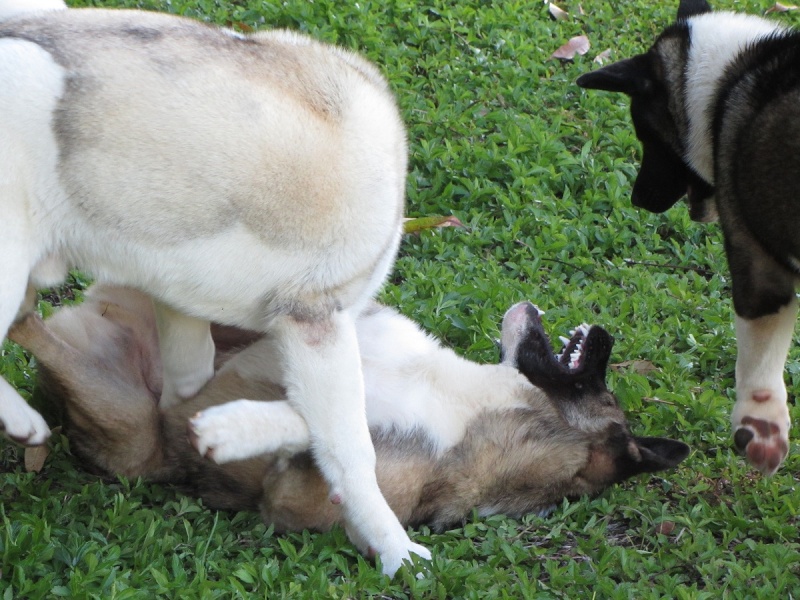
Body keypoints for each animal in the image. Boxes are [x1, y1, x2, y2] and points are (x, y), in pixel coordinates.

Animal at [0, 1, 424, 572]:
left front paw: (223, 429)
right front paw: (393, 544)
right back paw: (20, 417)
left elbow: (201, 391)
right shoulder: (318, 321)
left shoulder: (190, 309)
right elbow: (350, 440)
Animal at [7, 288, 688, 540]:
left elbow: (324, 432)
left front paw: (242, 427)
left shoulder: (295, 500)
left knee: (28, 327)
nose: (605, 332)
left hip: (123, 422)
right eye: (604, 378)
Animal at [580, 0, 796, 476]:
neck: (730, 75)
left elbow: (761, 350)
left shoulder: (758, 264)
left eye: (644, 131)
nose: (638, 198)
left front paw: (761, 423)